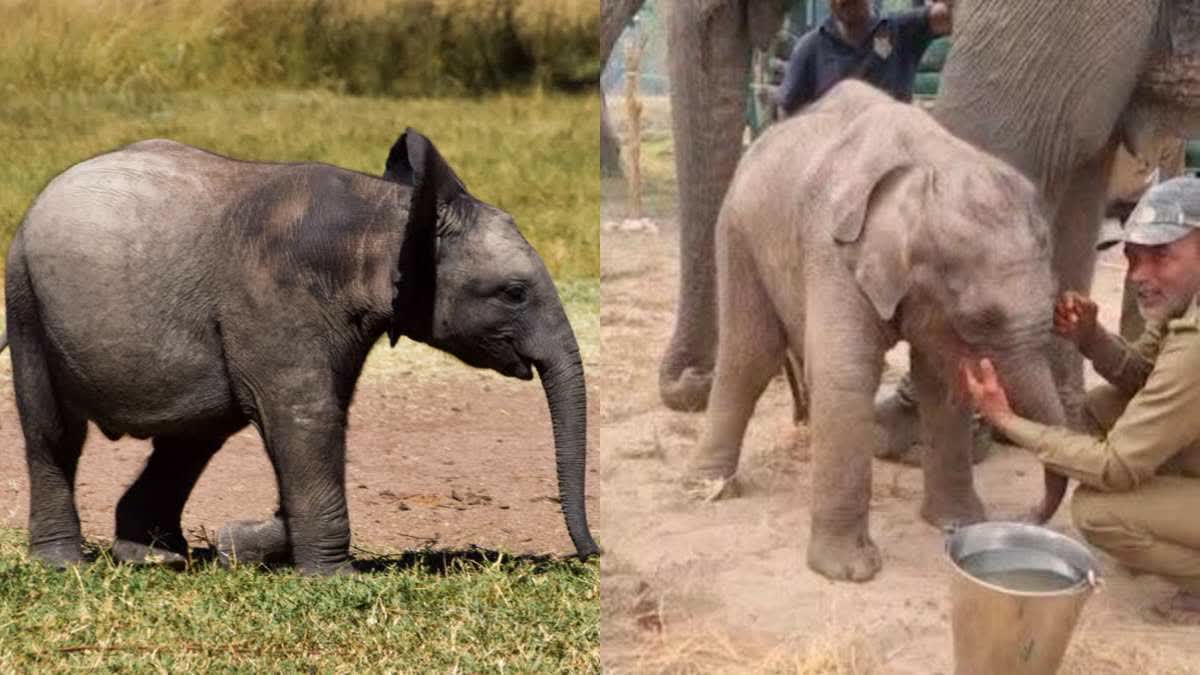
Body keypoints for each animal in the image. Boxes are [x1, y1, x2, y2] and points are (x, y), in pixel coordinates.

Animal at [4, 128, 595, 569]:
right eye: (514, 293)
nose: (590, 554)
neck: (389, 214)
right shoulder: (276, 294)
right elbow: (305, 416)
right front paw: (331, 575)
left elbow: (309, 417)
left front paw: (239, 545)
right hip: (27, 299)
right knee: (54, 431)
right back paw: (64, 563)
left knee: (195, 434)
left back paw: (155, 558)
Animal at [696, 79, 1070, 578]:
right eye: (982, 320)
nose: (1026, 516)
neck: (926, 170)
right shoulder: (833, 249)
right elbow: (846, 372)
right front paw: (850, 573)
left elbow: (941, 379)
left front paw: (957, 522)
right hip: (737, 228)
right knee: (749, 355)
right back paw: (710, 488)